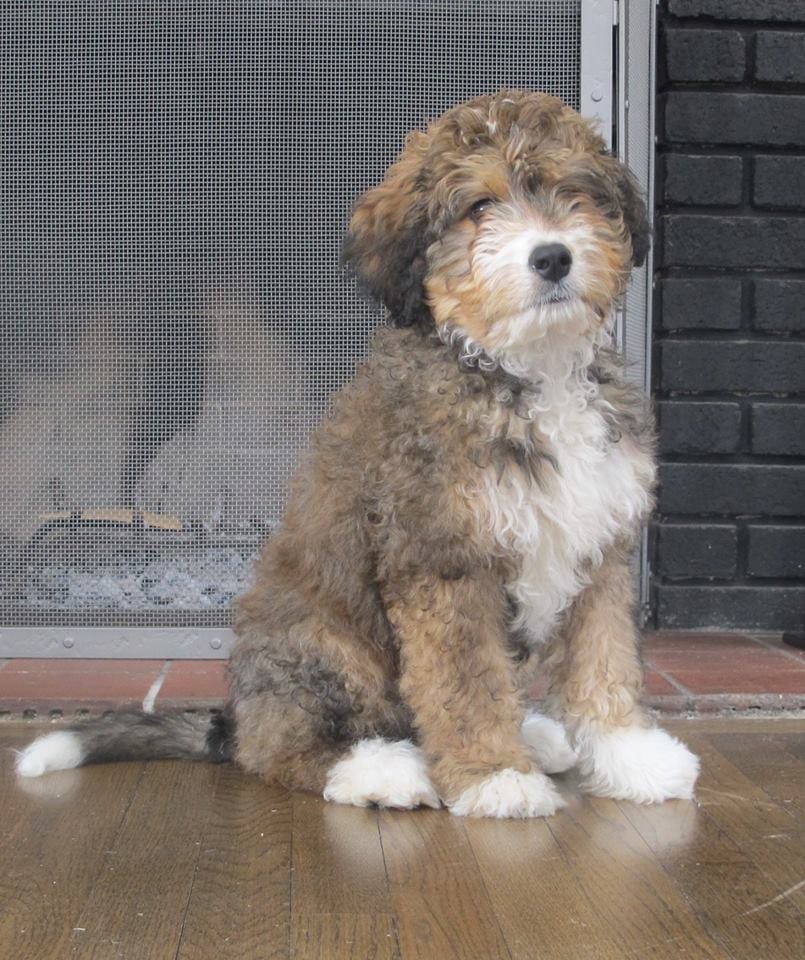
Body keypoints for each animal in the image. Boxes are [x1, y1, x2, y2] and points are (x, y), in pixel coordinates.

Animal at [18, 94, 696, 816]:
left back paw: (531, 738)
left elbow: (604, 662)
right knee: (285, 750)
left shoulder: (597, 546)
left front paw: (632, 759)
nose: (553, 259)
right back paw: (384, 771)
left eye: (573, 192)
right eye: (479, 206)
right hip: (322, 643)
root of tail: (237, 716)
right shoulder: (442, 561)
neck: (525, 369)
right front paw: (493, 776)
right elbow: (465, 683)